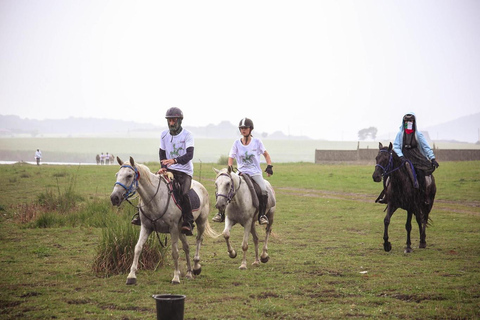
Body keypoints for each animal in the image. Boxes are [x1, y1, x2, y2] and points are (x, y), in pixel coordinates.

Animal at [110, 156, 218, 284]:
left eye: (129, 176)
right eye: (117, 175)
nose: (114, 198)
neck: (155, 199)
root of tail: (201, 187)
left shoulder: (173, 229)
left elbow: (175, 252)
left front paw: (176, 277)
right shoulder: (146, 227)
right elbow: (137, 248)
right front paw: (131, 276)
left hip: (200, 222)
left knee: (198, 239)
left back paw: (196, 267)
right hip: (181, 230)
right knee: (186, 247)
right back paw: (189, 273)